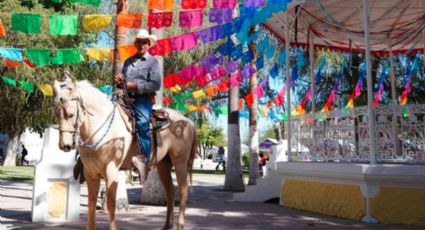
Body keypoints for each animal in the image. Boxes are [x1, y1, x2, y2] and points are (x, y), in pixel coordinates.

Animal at [53, 78, 197, 229]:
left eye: (71, 114)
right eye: (56, 113)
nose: (65, 145)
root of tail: (188, 121)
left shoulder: (111, 170)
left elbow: (111, 204)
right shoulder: (90, 173)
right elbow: (91, 204)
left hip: (180, 162)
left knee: (183, 190)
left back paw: (180, 225)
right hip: (163, 165)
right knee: (170, 191)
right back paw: (167, 225)